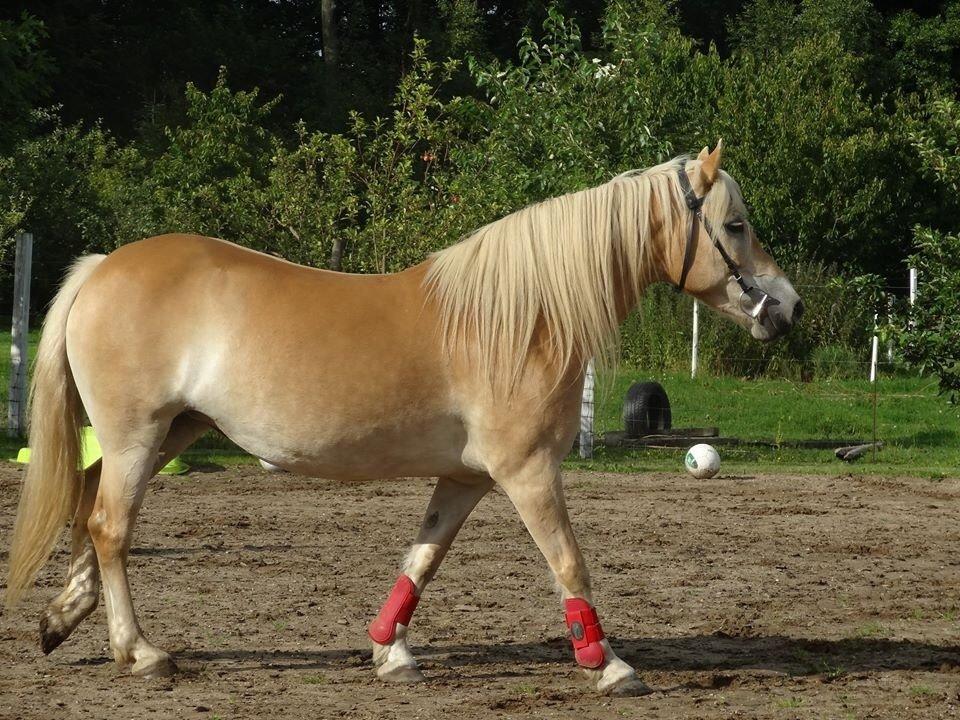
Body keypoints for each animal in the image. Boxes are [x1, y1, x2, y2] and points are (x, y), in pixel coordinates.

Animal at [5, 143, 804, 696]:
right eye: (736, 225)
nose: (787, 309)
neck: (523, 316)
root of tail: (102, 268)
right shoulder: (528, 473)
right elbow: (568, 562)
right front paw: (606, 663)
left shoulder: (467, 479)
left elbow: (421, 559)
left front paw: (390, 652)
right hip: (139, 434)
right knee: (111, 526)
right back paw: (139, 652)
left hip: (170, 432)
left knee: (91, 510)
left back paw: (62, 621)